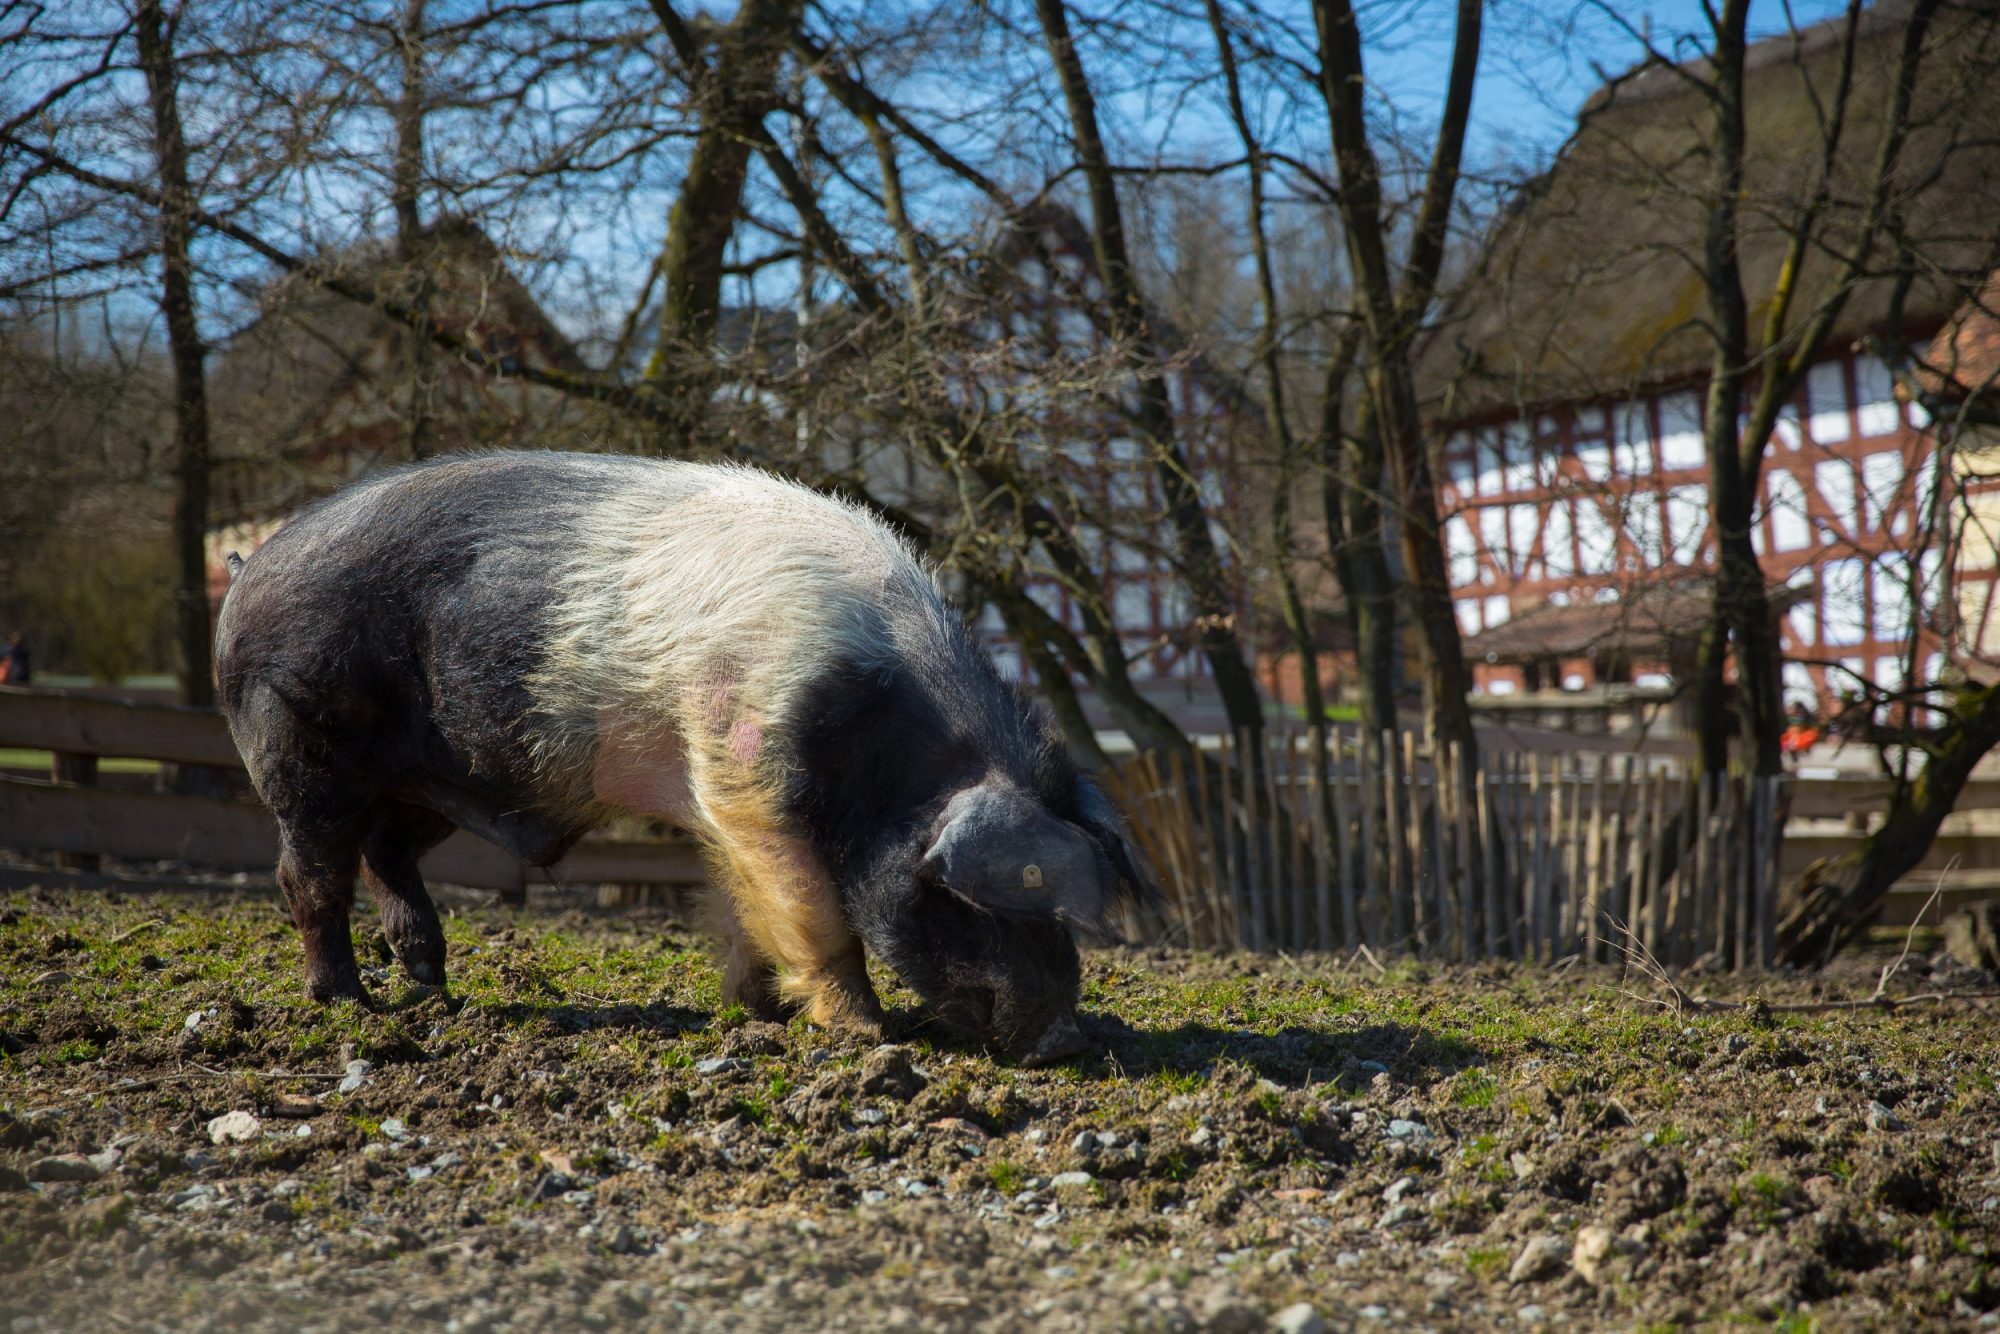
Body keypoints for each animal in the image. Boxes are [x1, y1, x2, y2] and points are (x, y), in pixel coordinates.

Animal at [211, 454, 1152, 1072]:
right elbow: (813, 913)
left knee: (386, 858)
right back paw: (349, 1005)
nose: (1066, 1041)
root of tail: (247, 571)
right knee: (308, 875)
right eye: (975, 901)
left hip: (423, 785)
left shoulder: (722, 795)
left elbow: (743, 905)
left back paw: (435, 995)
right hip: (298, 741)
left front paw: (753, 1014)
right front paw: (862, 1037)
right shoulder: (747, 768)